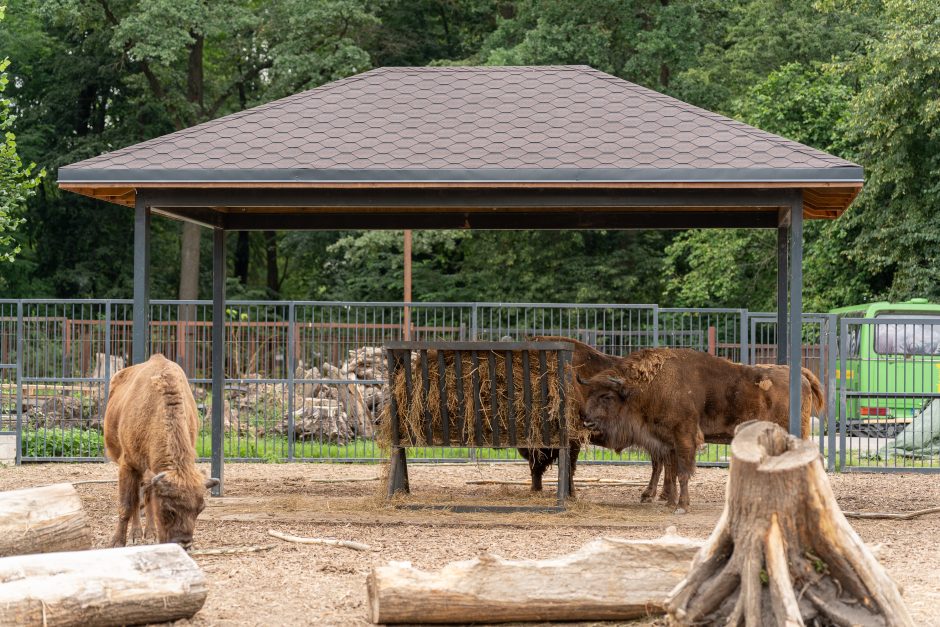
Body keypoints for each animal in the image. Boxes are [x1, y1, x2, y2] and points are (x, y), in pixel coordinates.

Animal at [103, 354, 218, 548]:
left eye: (200, 509)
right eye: (169, 510)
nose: (184, 543)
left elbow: (147, 498)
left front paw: (151, 534)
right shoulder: (128, 464)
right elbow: (126, 505)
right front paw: (117, 542)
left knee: (146, 496)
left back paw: (148, 533)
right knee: (136, 499)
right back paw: (135, 534)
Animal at [576, 348, 828, 516]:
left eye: (607, 396)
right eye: (591, 393)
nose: (587, 421)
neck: (649, 386)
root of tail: (801, 374)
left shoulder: (684, 437)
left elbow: (682, 472)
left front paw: (680, 506)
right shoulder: (667, 441)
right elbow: (671, 469)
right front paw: (670, 501)